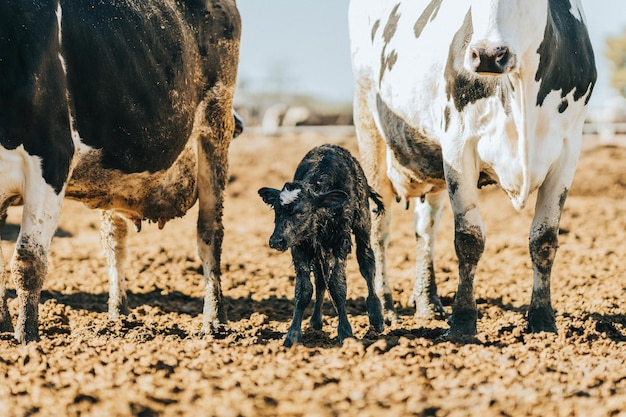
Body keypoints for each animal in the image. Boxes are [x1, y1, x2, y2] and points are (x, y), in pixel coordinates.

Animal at [0, 0, 240, 342]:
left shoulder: (51, 156)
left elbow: (28, 260)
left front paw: (27, 337)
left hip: (217, 121)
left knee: (210, 230)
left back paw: (214, 319)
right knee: (115, 239)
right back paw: (118, 315)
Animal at [256, 143, 382, 344]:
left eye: (301, 212)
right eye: (276, 210)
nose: (276, 241)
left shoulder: (340, 242)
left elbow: (337, 286)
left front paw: (345, 331)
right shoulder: (300, 247)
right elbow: (304, 290)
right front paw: (292, 334)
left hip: (363, 223)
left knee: (367, 264)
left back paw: (376, 316)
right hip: (317, 250)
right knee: (321, 281)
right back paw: (315, 321)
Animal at [346, 0, 596, 336]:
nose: (488, 54)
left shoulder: (568, 150)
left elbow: (544, 239)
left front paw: (543, 320)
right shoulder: (458, 142)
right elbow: (468, 238)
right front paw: (464, 321)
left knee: (425, 229)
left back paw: (428, 303)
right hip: (369, 127)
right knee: (377, 229)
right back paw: (385, 308)